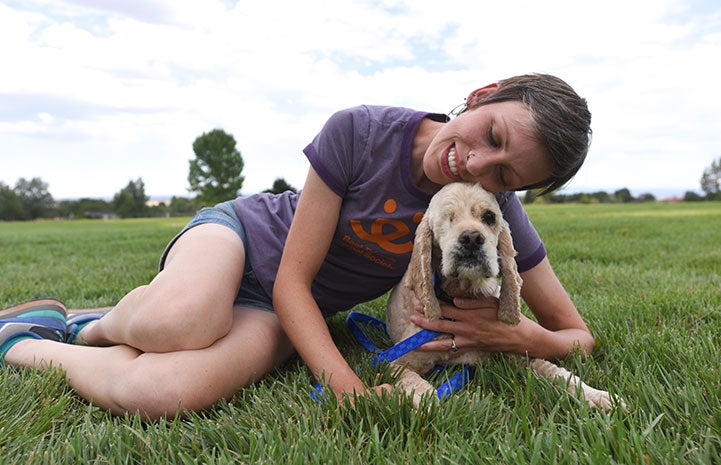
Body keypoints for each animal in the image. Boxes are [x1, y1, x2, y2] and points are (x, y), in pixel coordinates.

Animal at [382, 183, 624, 408]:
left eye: (489, 217)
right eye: (447, 218)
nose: (472, 238)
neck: (465, 291)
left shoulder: (518, 351)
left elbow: (556, 371)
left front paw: (599, 396)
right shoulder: (396, 363)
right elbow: (414, 384)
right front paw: (430, 404)